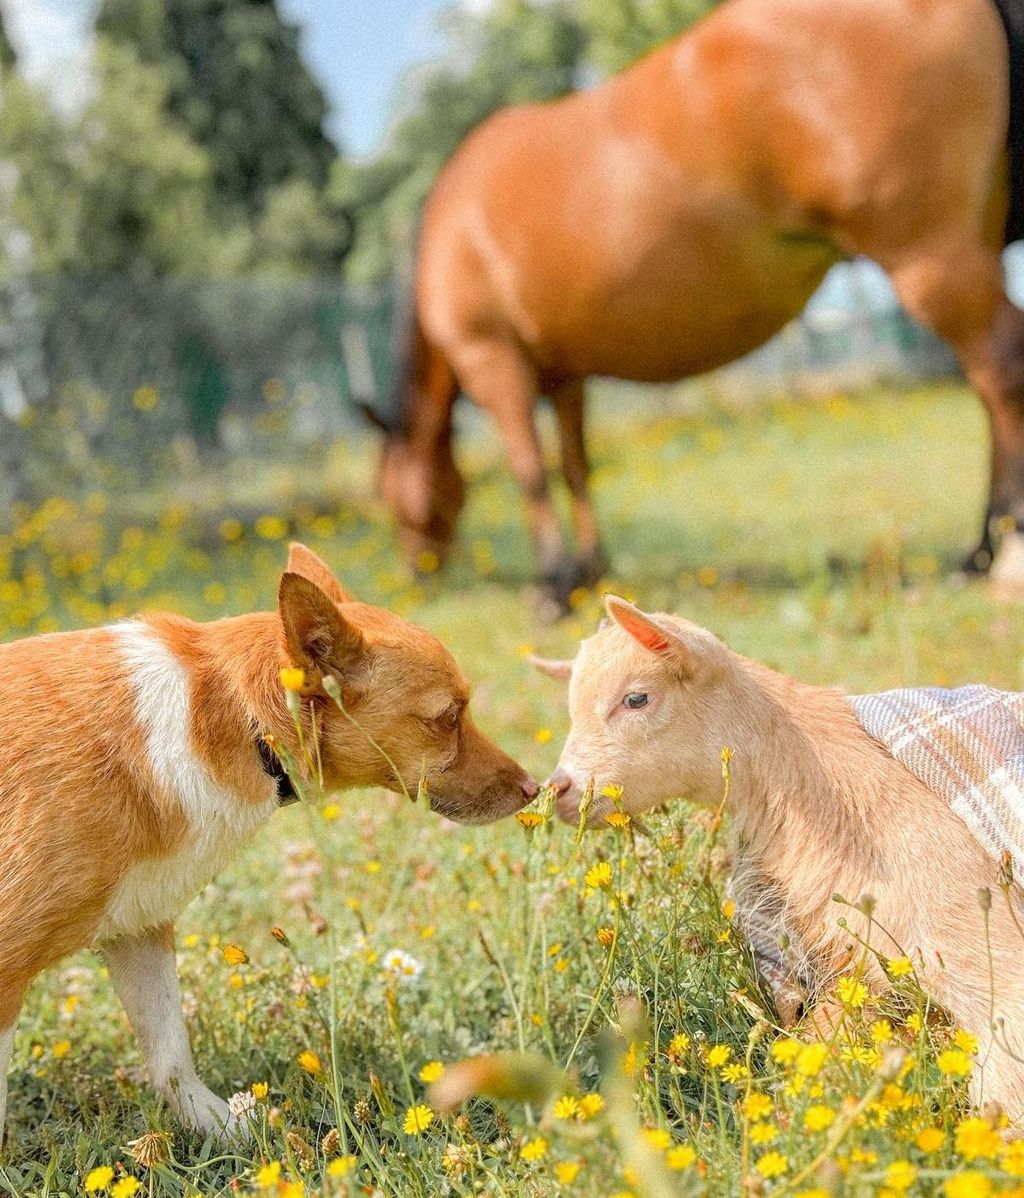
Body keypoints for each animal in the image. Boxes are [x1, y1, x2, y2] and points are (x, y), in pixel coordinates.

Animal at [0, 543, 529, 1140]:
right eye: (448, 716)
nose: (536, 788)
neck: (238, 715)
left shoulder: (139, 930)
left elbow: (172, 1060)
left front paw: (229, 1134)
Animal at [376, 0, 1024, 613]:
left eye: (391, 494)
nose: (417, 572)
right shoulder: (566, 376)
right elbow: (576, 466)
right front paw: (589, 568)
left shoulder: (491, 359)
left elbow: (531, 472)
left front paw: (554, 586)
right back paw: (982, 549)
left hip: (931, 256)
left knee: (999, 372)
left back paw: (1000, 550)